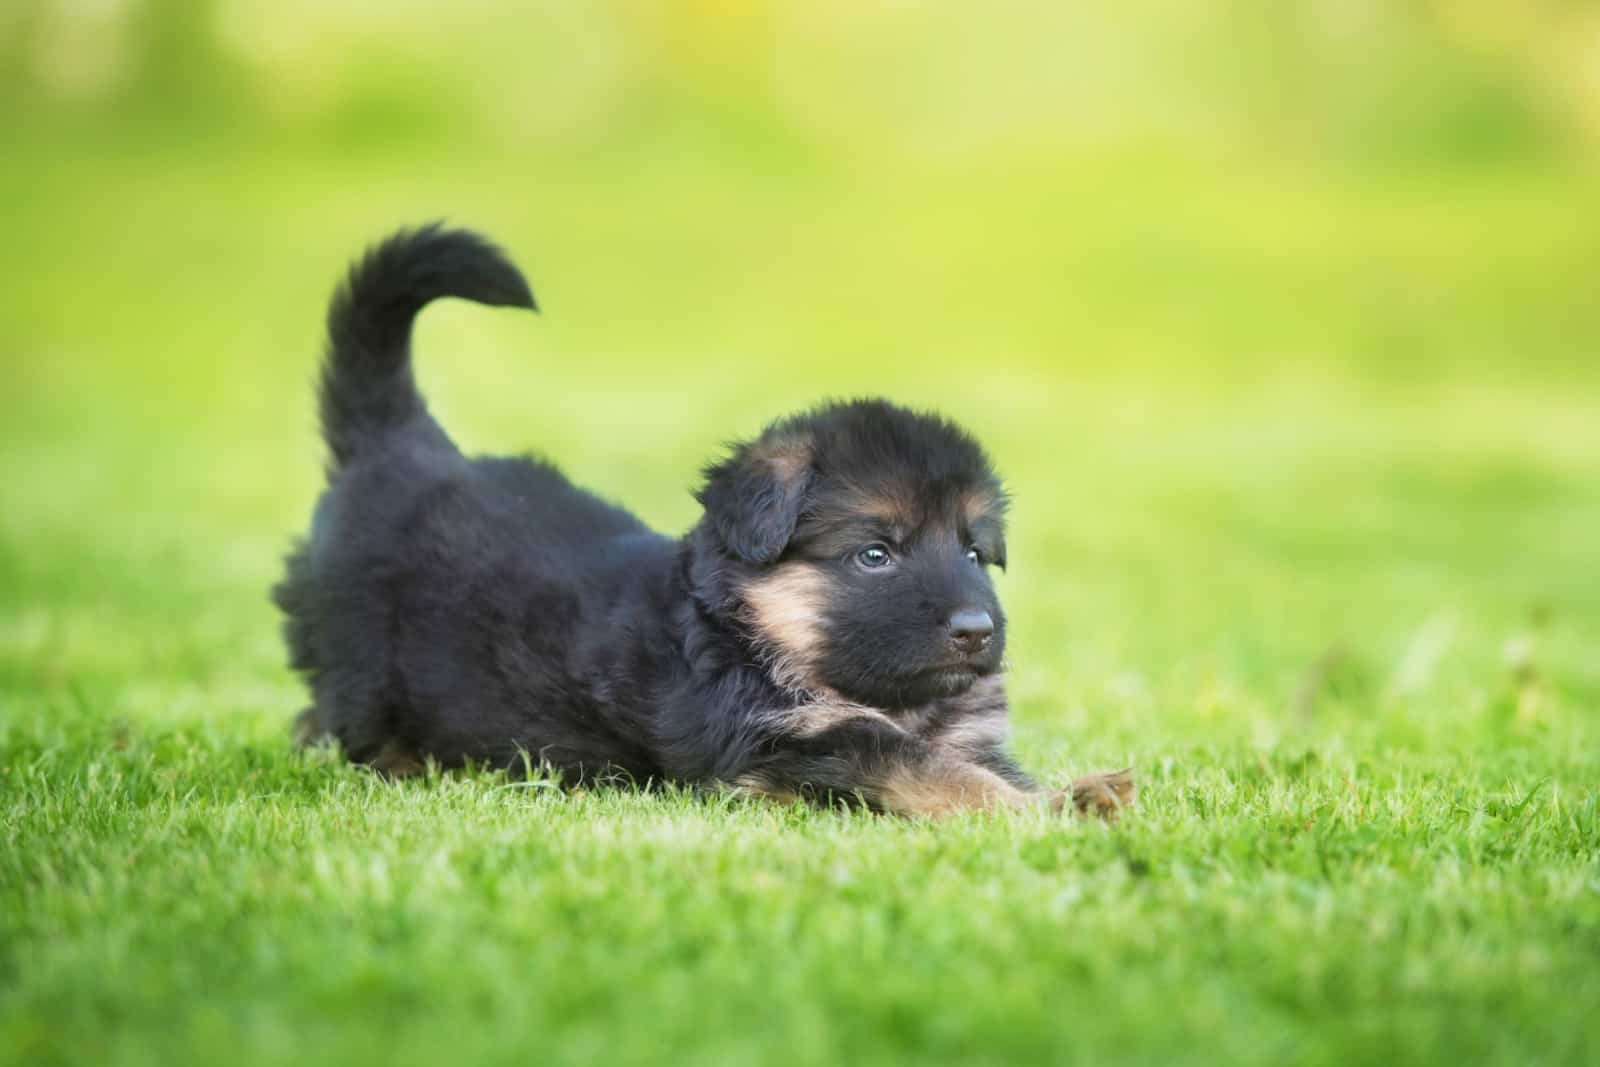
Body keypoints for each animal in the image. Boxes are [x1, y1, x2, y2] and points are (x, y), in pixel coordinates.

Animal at [275, 225, 1132, 825]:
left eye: (974, 552)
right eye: (874, 554)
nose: (977, 631)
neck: (759, 635)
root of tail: (400, 442)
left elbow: (972, 762)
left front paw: (1075, 789)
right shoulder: (789, 743)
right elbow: (927, 771)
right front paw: (1048, 811)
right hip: (362, 665)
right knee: (327, 721)